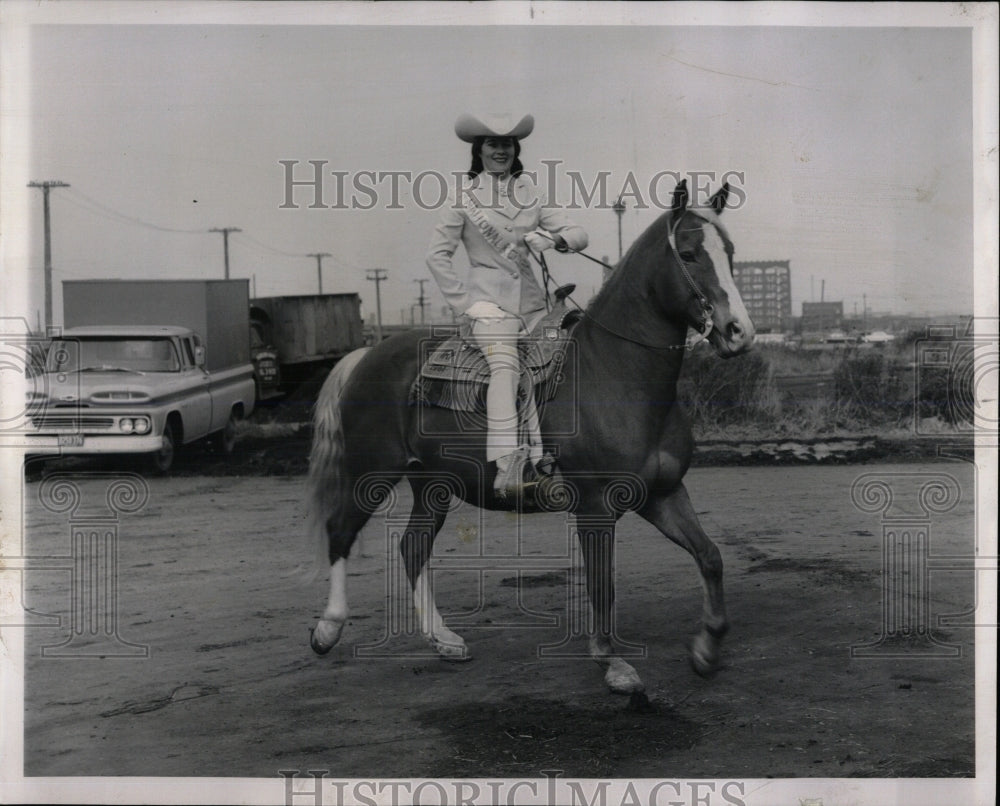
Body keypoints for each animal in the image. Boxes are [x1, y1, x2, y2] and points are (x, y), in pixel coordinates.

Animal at [308, 181, 752, 696]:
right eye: (689, 253)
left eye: (730, 253)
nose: (738, 332)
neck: (615, 372)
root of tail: (365, 354)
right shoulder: (596, 507)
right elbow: (602, 582)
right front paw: (612, 663)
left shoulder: (662, 493)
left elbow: (710, 555)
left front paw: (707, 647)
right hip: (370, 472)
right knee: (340, 531)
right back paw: (328, 629)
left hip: (432, 485)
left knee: (412, 548)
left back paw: (445, 641)